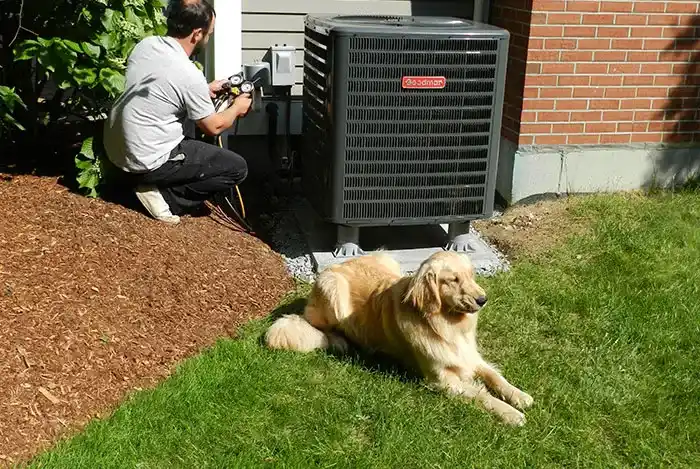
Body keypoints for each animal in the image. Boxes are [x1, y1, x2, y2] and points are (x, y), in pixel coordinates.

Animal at [266, 250, 532, 426]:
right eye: (453, 280)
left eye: (471, 275)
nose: (482, 299)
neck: (444, 325)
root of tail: (336, 265)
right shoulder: (441, 380)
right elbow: (482, 394)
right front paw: (509, 413)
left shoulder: (470, 356)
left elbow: (496, 378)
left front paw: (519, 396)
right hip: (334, 292)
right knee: (317, 325)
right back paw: (340, 340)